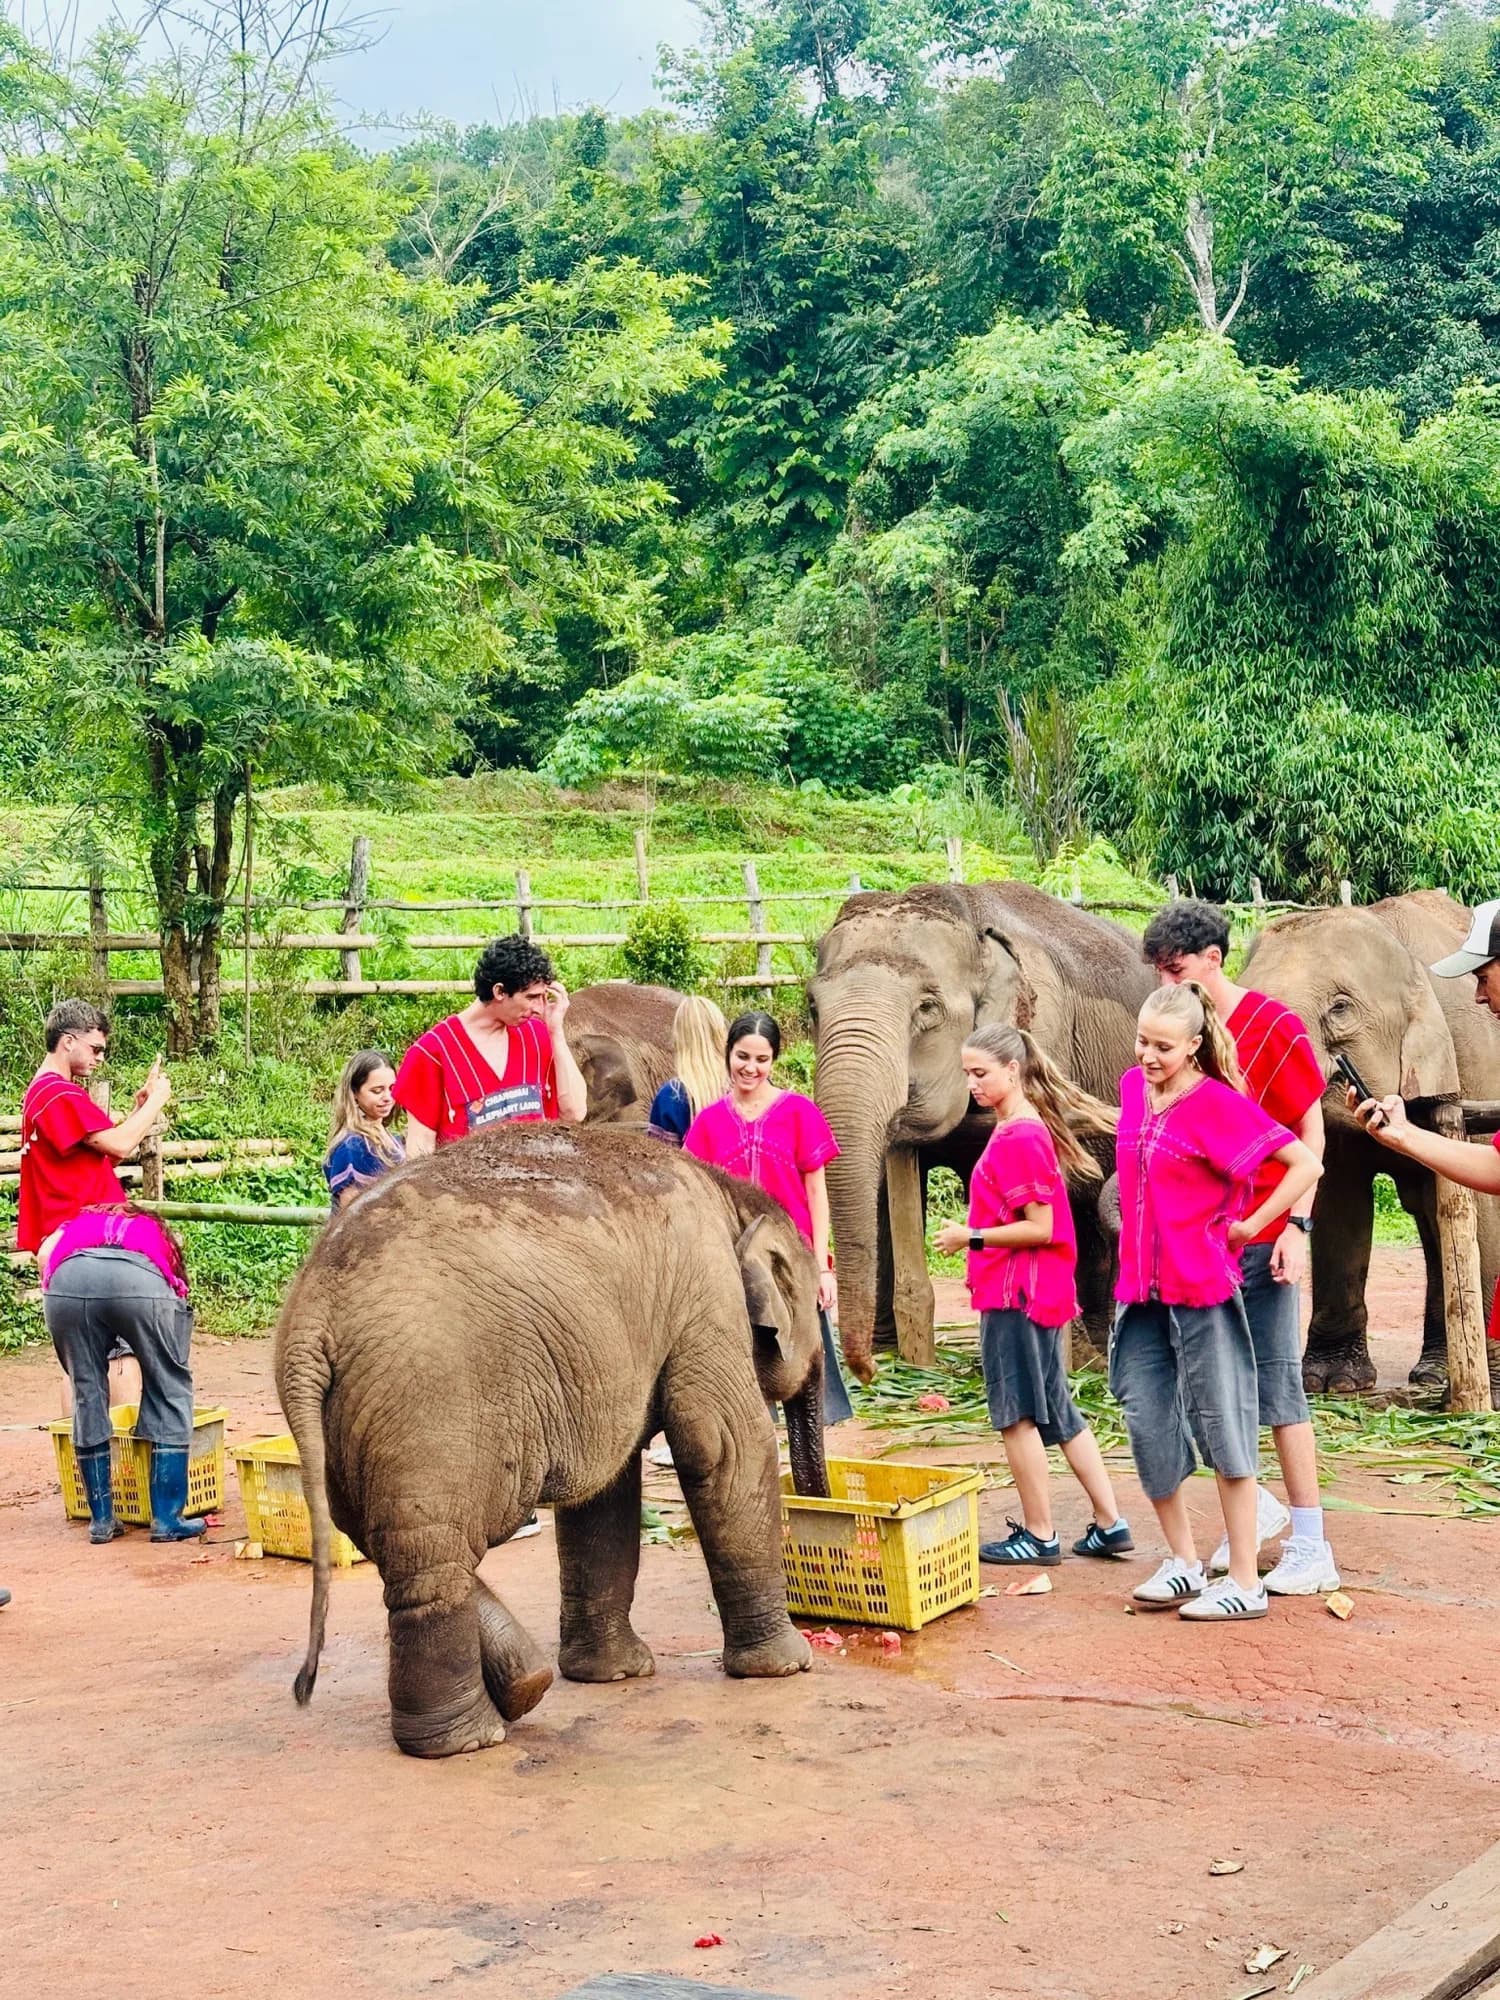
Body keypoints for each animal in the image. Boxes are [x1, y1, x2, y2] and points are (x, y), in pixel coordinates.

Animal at [275, 1124, 827, 1758]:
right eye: (817, 1306)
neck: (730, 1195)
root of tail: (312, 1313)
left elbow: (605, 1491)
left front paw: (611, 1675)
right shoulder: (706, 1295)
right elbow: (724, 1447)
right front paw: (787, 1667)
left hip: (349, 1420)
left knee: (391, 1540)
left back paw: (522, 1689)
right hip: (429, 1400)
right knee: (433, 1544)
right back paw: (469, 1740)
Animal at [810, 880, 1158, 1381]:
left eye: (928, 1007)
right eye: (811, 1006)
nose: (866, 1371)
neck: (972, 923)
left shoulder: (1043, 1037)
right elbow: (881, 1192)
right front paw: (893, 1357)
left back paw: (1094, 1359)